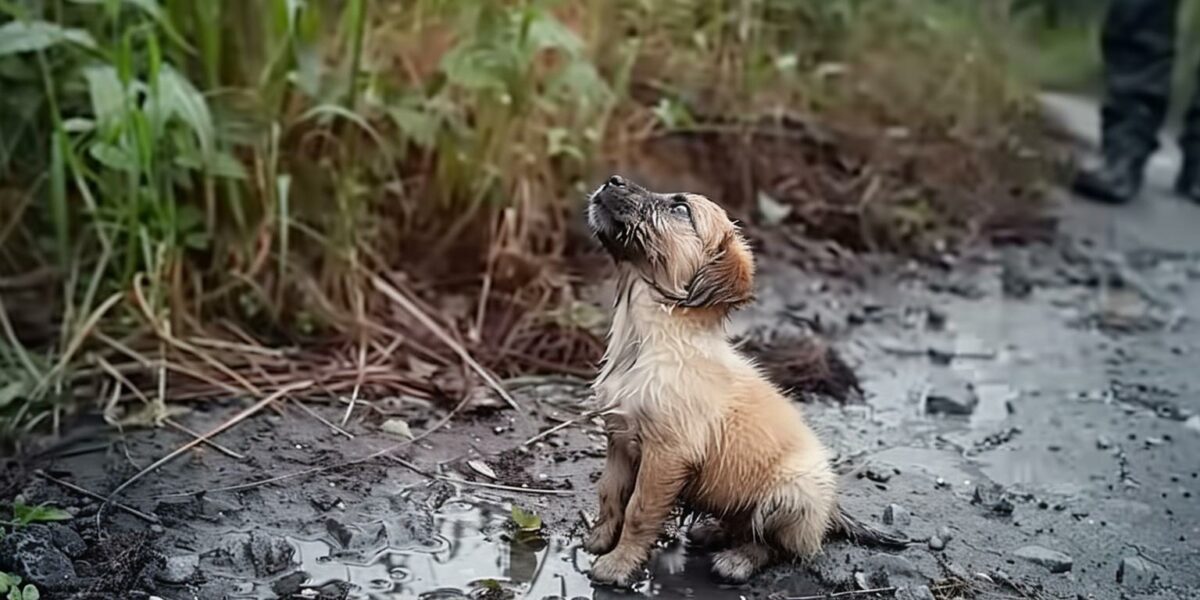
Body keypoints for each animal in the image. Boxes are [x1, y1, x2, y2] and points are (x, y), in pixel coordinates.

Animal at [580, 175, 835, 585]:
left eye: (681, 209)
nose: (613, 179)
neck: (650, 337)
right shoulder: (618, 438)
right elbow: (610, 494)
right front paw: (600, 540)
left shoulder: (667, 453)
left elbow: (638, 511)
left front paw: (618, 564)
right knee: (741, 523)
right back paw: (713, 530)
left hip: (794, 490)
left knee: (773, 544)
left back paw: (738, 560)